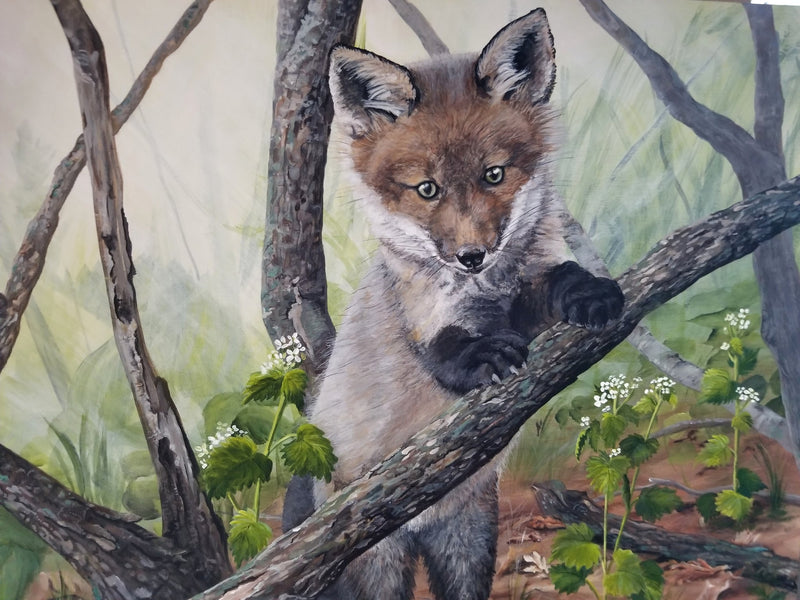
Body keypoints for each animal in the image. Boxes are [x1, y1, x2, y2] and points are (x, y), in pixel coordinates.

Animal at [282, 8, 624, 600]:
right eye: (427, 189)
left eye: (494, 175)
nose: (471, 256)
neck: (488, 292)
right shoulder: (426, 321)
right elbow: (447, 351)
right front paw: (486, 356)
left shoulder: (525, 295)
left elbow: (555, 279)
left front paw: (589, 291)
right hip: (377, 567)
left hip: (468, 541)